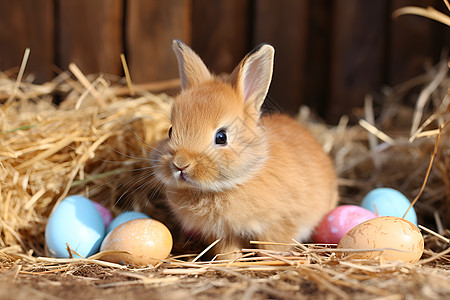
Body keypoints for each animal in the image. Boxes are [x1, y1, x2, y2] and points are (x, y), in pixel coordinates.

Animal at [152, 39, 338, 255]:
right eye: (170, 131)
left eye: (221, 137)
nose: (180, 164)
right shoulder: (223, 234)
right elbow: (228, 252)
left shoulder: (279, 224)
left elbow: (271, 248)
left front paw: (269, 259)